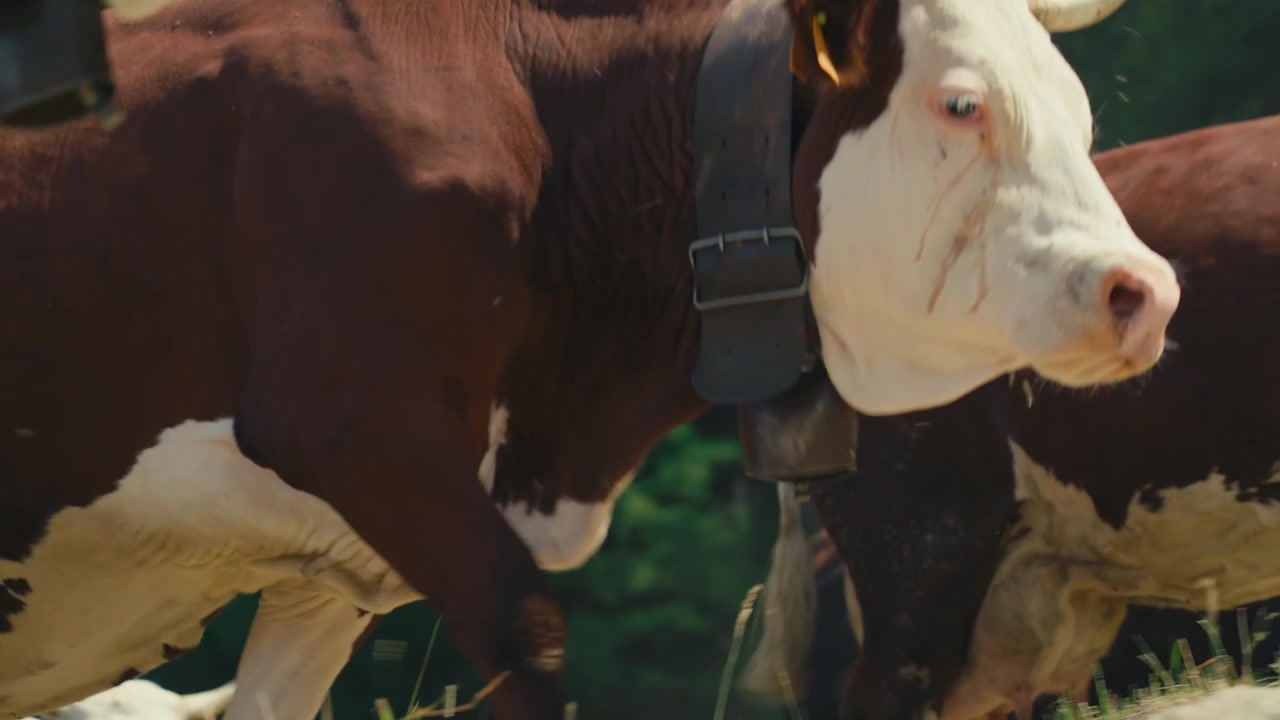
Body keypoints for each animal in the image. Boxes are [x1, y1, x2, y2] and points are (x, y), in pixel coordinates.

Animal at [0, 0, 1177, 717]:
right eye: (961, 102)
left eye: (1078, 111)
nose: (1144, 291)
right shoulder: (349, 426)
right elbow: (530, 635)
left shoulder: (331, 566)